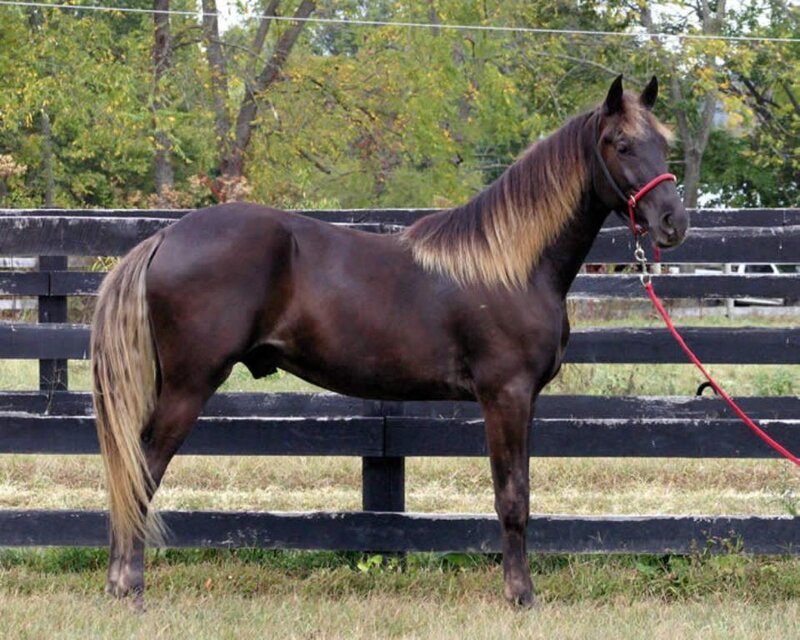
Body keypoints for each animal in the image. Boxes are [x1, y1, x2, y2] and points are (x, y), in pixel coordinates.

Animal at [91, 75, 688, 607]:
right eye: (622, 144)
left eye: (664, 144)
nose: (672, 222)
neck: (512, 265)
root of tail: (166, 236)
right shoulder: (506, 395)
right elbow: (512, 498)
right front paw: (521, 595)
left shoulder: (524, 401)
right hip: (189, 386)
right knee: (142, 469)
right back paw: (129, 586)